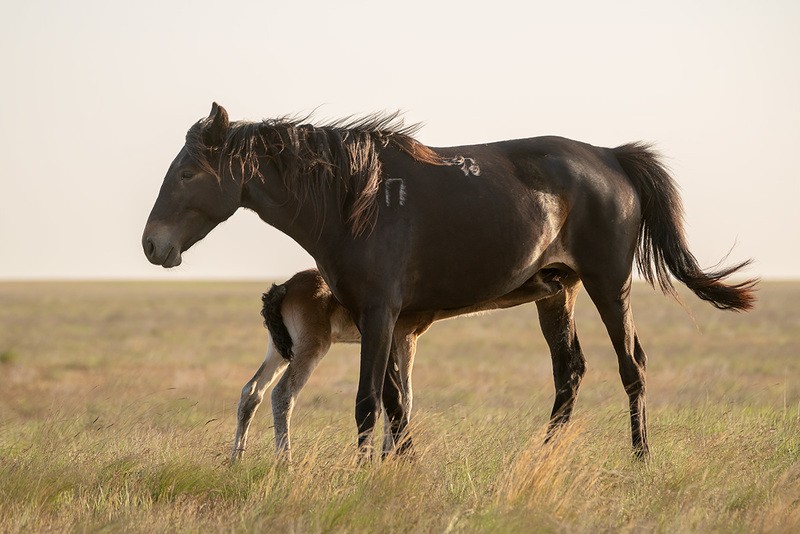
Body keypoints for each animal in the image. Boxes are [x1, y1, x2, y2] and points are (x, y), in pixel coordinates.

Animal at [142, 104, 756, 460]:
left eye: (190, 172)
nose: (153, 245)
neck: (353, 199)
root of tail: (611, 157)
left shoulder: (380, 315)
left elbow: (369, 403)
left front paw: (364, 474)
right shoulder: (384, 321)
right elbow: (396, 402)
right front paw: (402, 467)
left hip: (609, 285)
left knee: (632, 367)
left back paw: (640, 460)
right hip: (558, 292)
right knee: (570, 374)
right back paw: (541, 458)